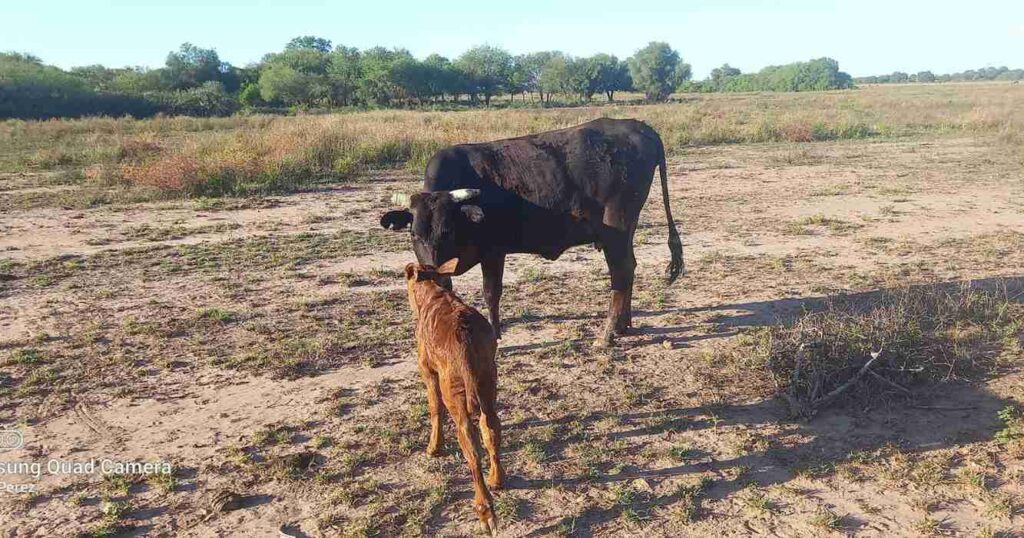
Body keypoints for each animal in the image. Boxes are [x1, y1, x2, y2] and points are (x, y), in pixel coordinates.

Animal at [380, 116, 684, 344]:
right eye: (414, 235)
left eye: (447, 231)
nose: (431, 271)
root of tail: (638, 126)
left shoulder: (494, 252)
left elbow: (491, 292)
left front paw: (496, 334)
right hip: (625, 230)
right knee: (629, 268)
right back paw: (624, 324)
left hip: (616, 229)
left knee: (620, 272)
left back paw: (608, 334)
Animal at [405, 257, 505, 532]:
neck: (432, 293)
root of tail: (465, 337)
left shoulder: (427, 369)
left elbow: (434, 407)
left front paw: (434, 447)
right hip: (488, 381)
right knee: (491, 429)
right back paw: (497, 478)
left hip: (455, 393)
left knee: (471, 447)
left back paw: (484, 510)